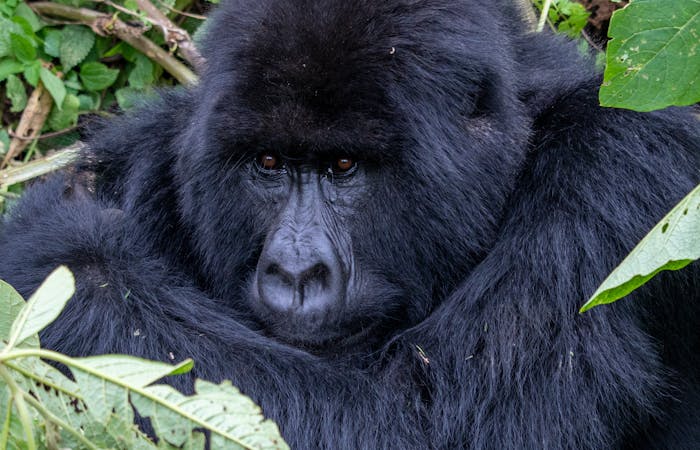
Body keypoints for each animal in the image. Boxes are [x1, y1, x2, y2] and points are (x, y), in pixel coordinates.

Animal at [1, 0, 700, 448]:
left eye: (343, 166)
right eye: (269, 163)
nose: (294, 272)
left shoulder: (614, 171)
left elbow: (423, 427)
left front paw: (62, 259)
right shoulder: (159, 148)